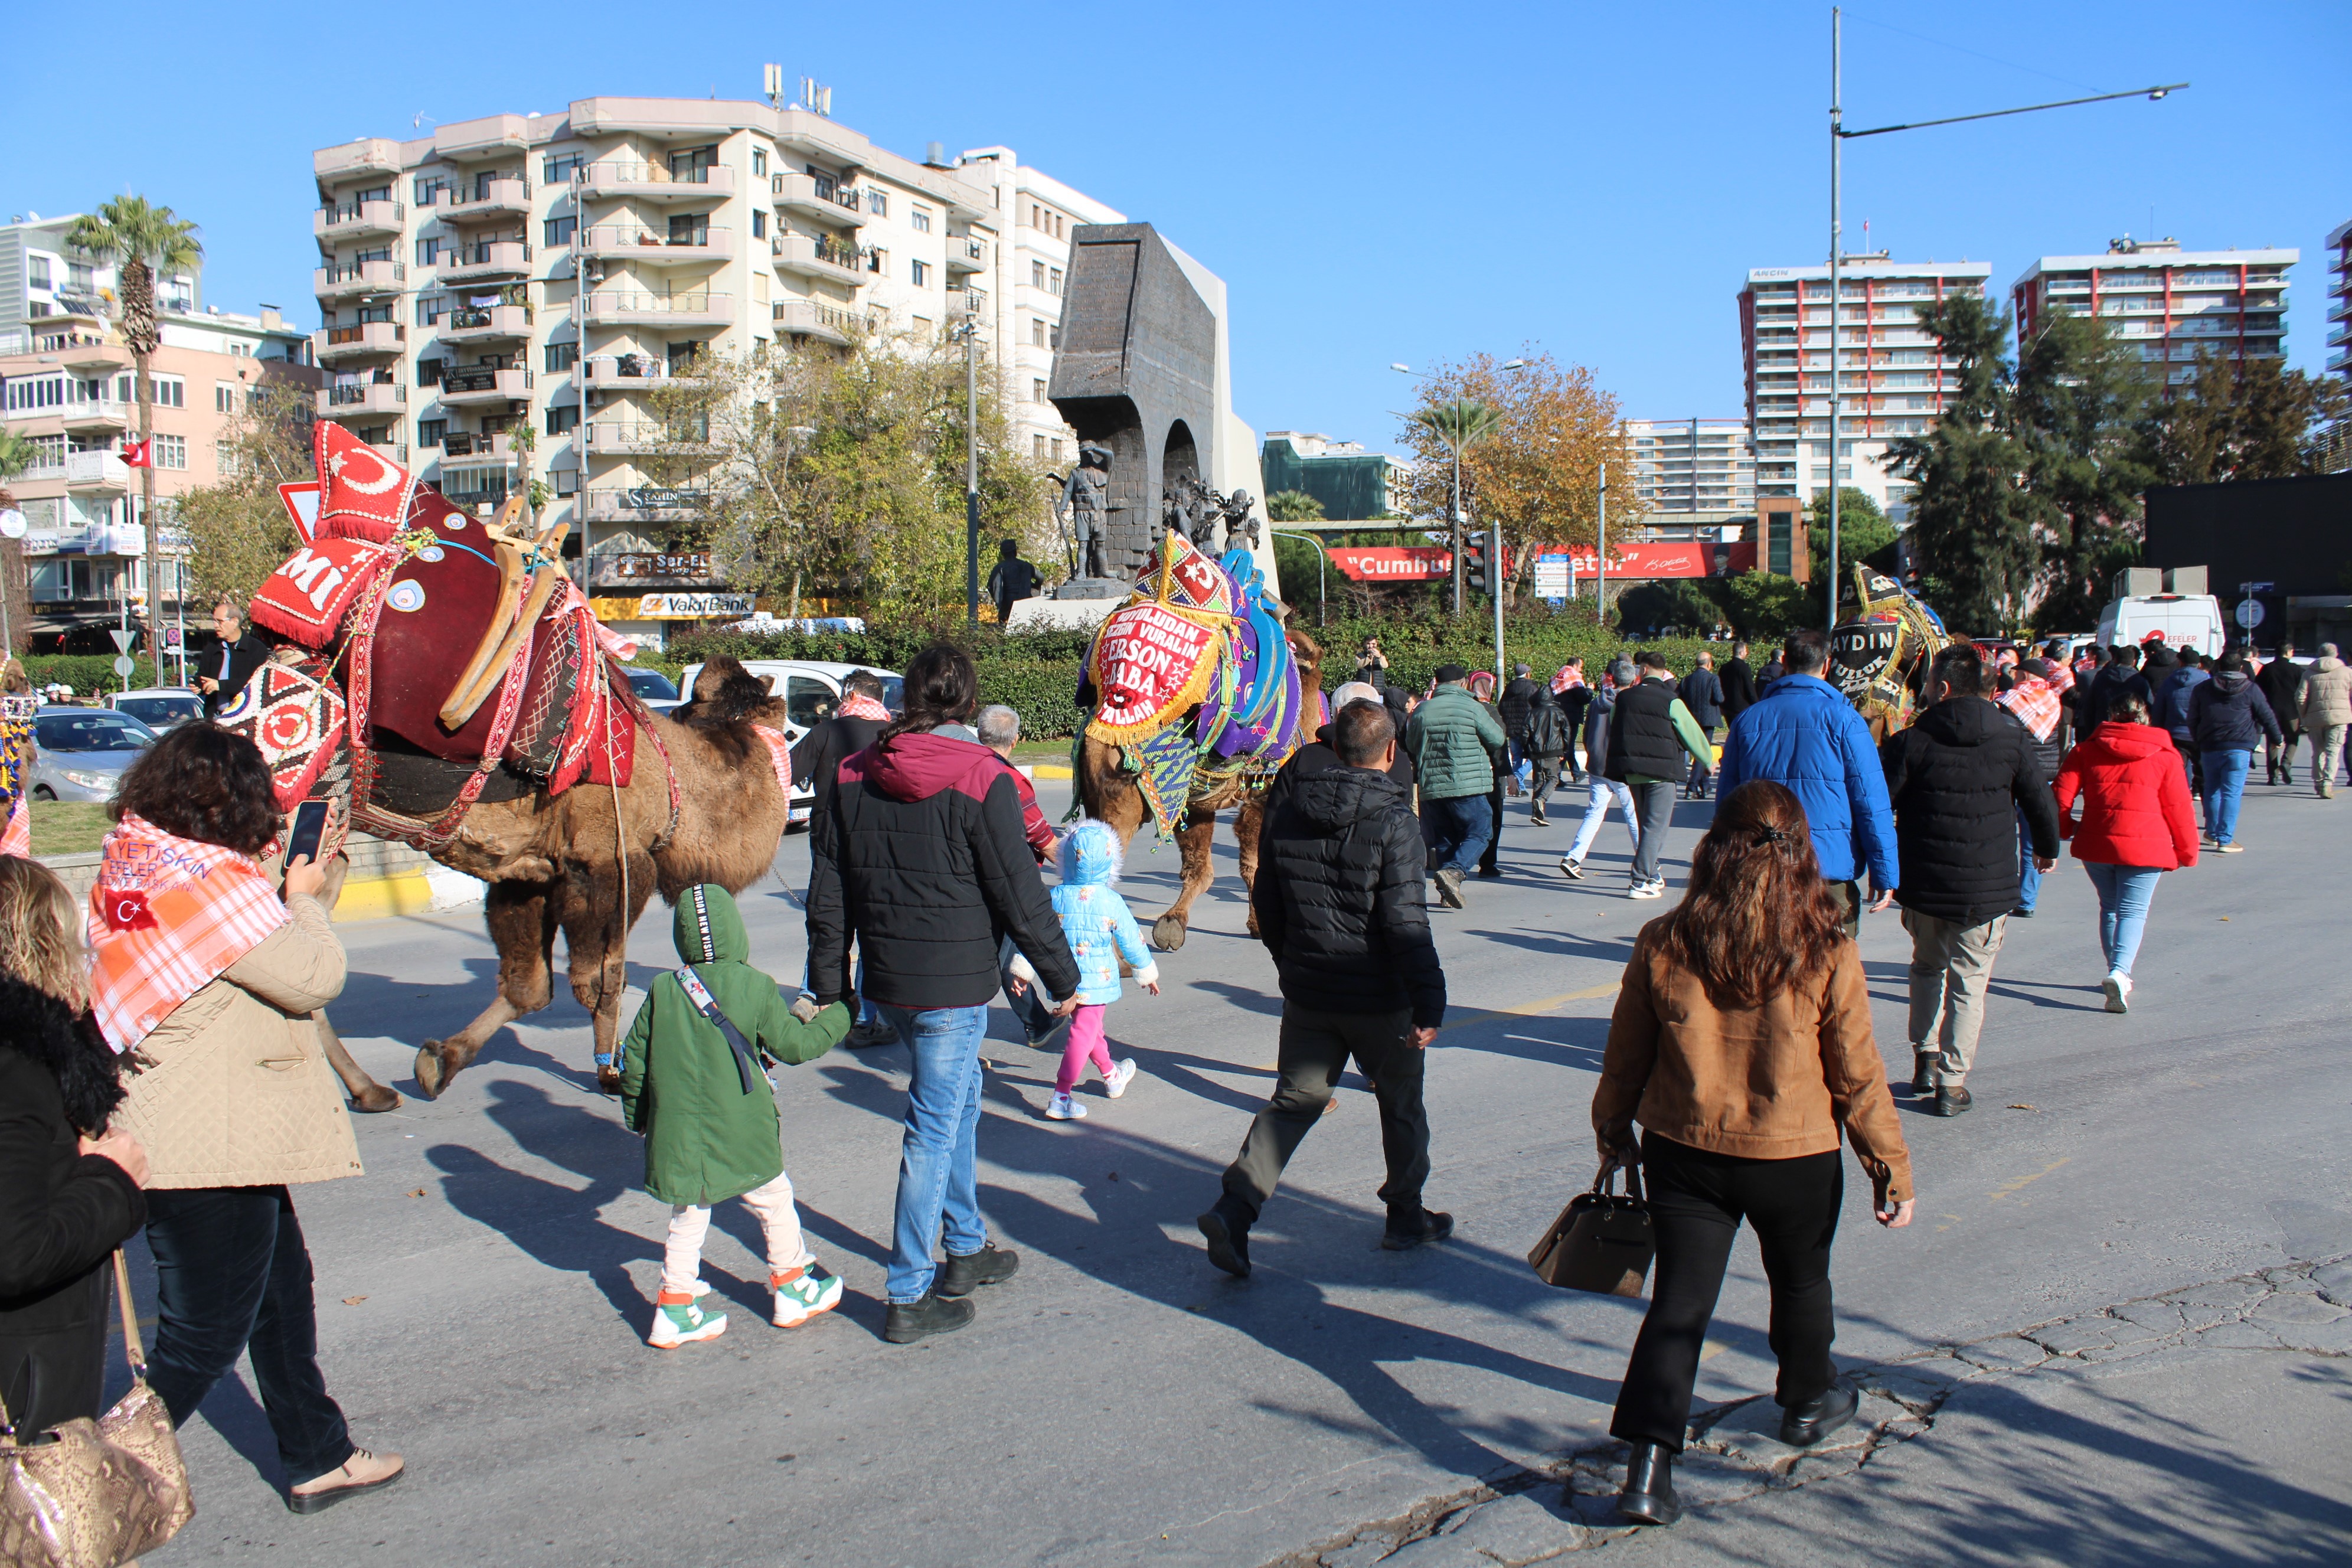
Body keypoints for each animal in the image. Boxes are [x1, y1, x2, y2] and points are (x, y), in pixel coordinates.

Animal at [221, 423, 795, 1100]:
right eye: (771, 718)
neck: (677, 779)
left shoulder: (528, 871)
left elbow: (529, 987)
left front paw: (440, 1059)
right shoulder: (611, 860)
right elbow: (600, 981)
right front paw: (613, 1071)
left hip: (325, 835)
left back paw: (367, 1088)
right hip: (291, 823)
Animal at [1077, 526, 1326, 949]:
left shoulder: (1199, 803)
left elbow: (1200, 867)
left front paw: (1171, 926)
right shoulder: (1261, 791)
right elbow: (1250, 862)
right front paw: (1260, 927)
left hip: (1103, 796)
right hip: (1126, 801)